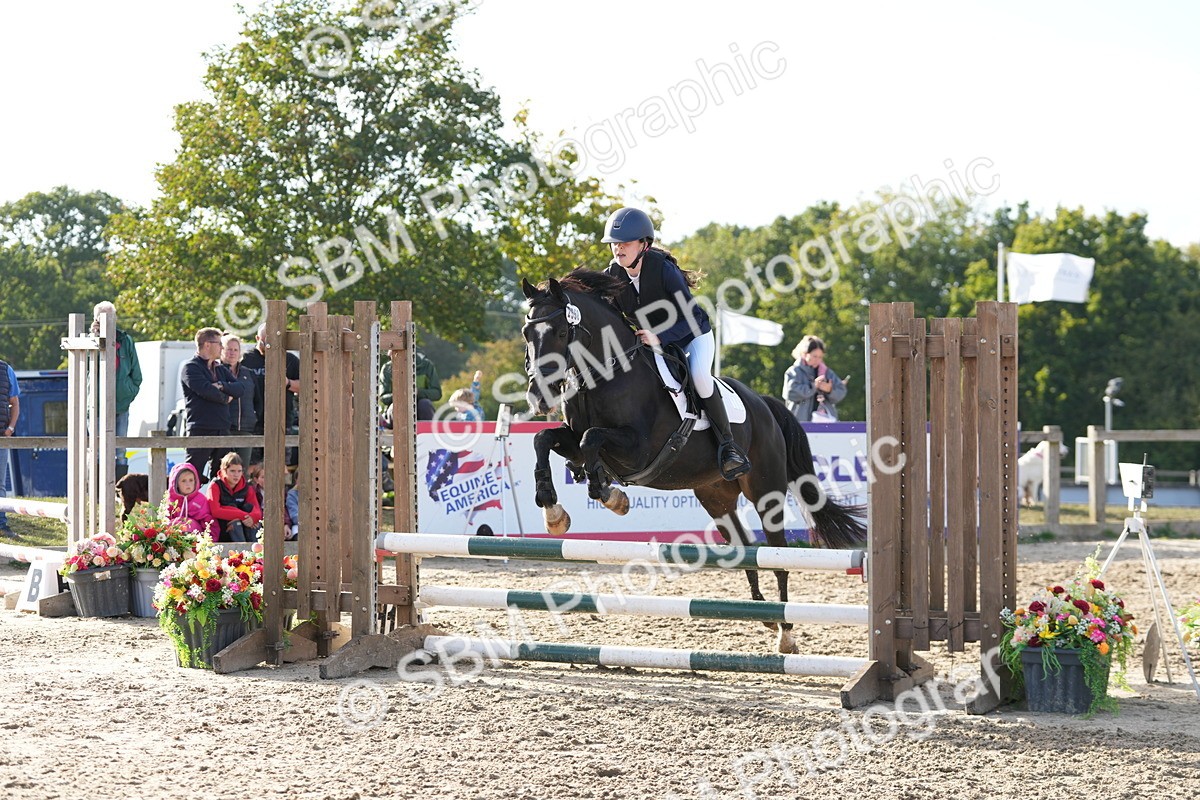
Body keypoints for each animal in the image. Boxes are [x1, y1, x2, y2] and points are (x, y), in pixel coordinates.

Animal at [521, 268, 866, 653]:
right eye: (527, 333)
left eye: (560, 332)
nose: (538, 396)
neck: (606, 374)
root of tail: (764, 403)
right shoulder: (576, 440)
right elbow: (544, 438)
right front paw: (553, 511)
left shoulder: (637, 449)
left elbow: (591, 437)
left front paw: (610, 494)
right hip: (716, 497)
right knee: (744, 547)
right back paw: (761, 613)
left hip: (767, 491)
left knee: (779, 555)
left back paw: (786, 633)